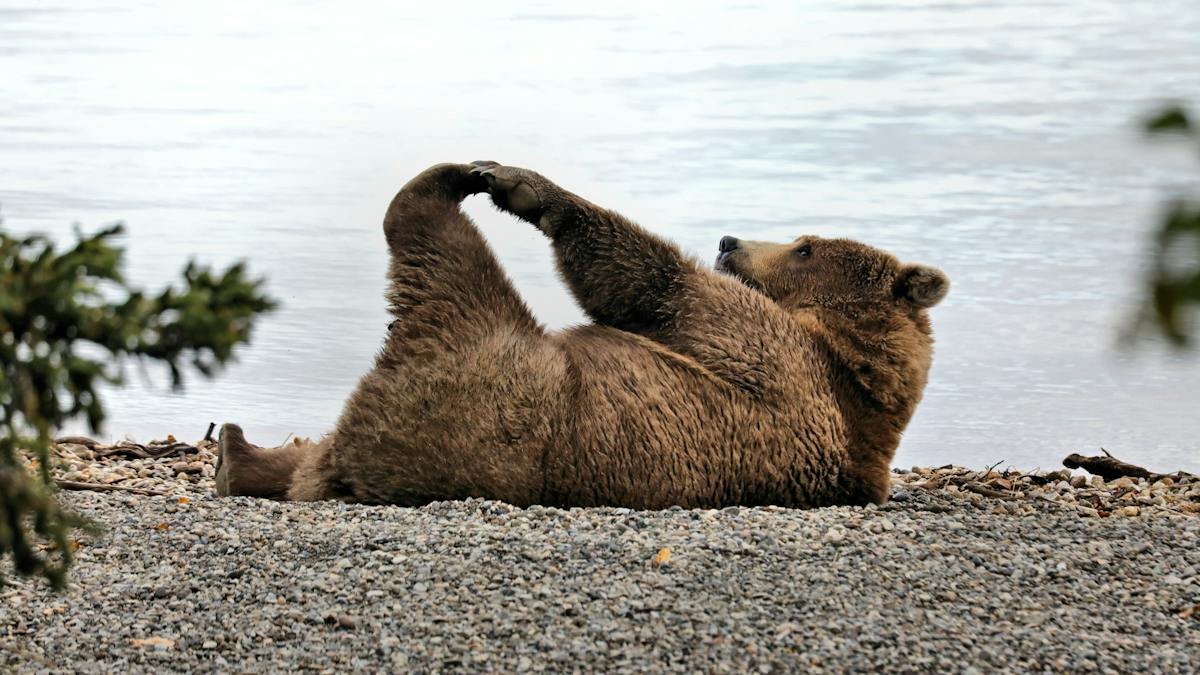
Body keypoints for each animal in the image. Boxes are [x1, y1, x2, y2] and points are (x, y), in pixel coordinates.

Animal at [215, 161, 949, 508]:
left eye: (803, 247)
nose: (729, 241)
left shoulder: (779, 361)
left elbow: (657, 287)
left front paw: (524, 187)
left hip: (485, 380)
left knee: (443, 260)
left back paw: (445, 182)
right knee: (306, 454)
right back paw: (236, 451)